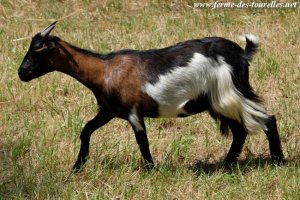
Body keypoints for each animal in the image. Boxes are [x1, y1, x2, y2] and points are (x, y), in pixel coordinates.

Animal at [18, 21, 284, 171]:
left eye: (37, 51)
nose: (21, 73)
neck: (105, 70)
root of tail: (242, 54)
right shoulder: (109, 110)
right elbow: (86, 130)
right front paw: (78, 166)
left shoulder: (133, 112)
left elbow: (142, 140)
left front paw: (150, 169)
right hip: (218, 102)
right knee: (240, 131)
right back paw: (227, 164)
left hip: (230, 93)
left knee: (267, 120)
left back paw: (278, 161)